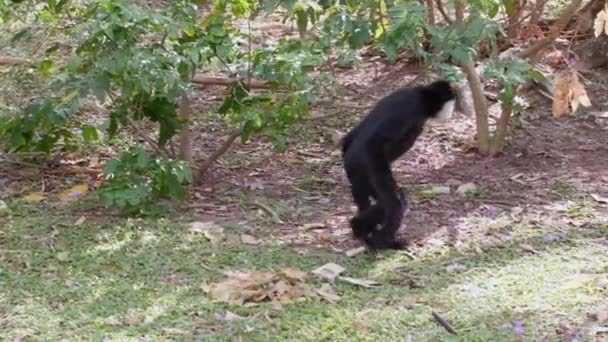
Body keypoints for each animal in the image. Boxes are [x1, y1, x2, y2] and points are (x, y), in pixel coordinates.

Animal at [340, 79, 454, 252]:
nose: (453, 110)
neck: (420, 94)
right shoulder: (412, 108)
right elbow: (374, 144)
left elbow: (351, 135)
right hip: (369, 170)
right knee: (394, 201)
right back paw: (379, 241)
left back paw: (359, 228)